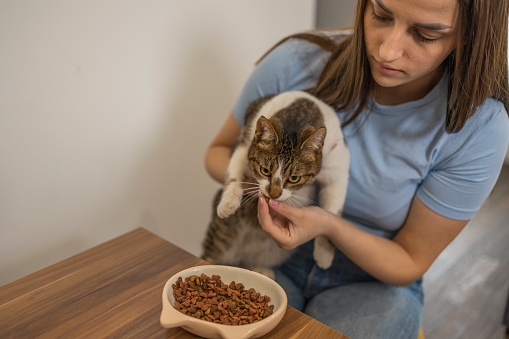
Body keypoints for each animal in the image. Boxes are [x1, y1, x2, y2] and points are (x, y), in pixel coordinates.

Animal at [199, 90, 350, 278]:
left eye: (294, 178)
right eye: (264, 170)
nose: (274, 193)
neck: (300, 111)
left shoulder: (339, 166)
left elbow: (332, 211)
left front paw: (324, 253)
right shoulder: (246, 142)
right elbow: (234, 173)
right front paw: (228, 203)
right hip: (222, 238)